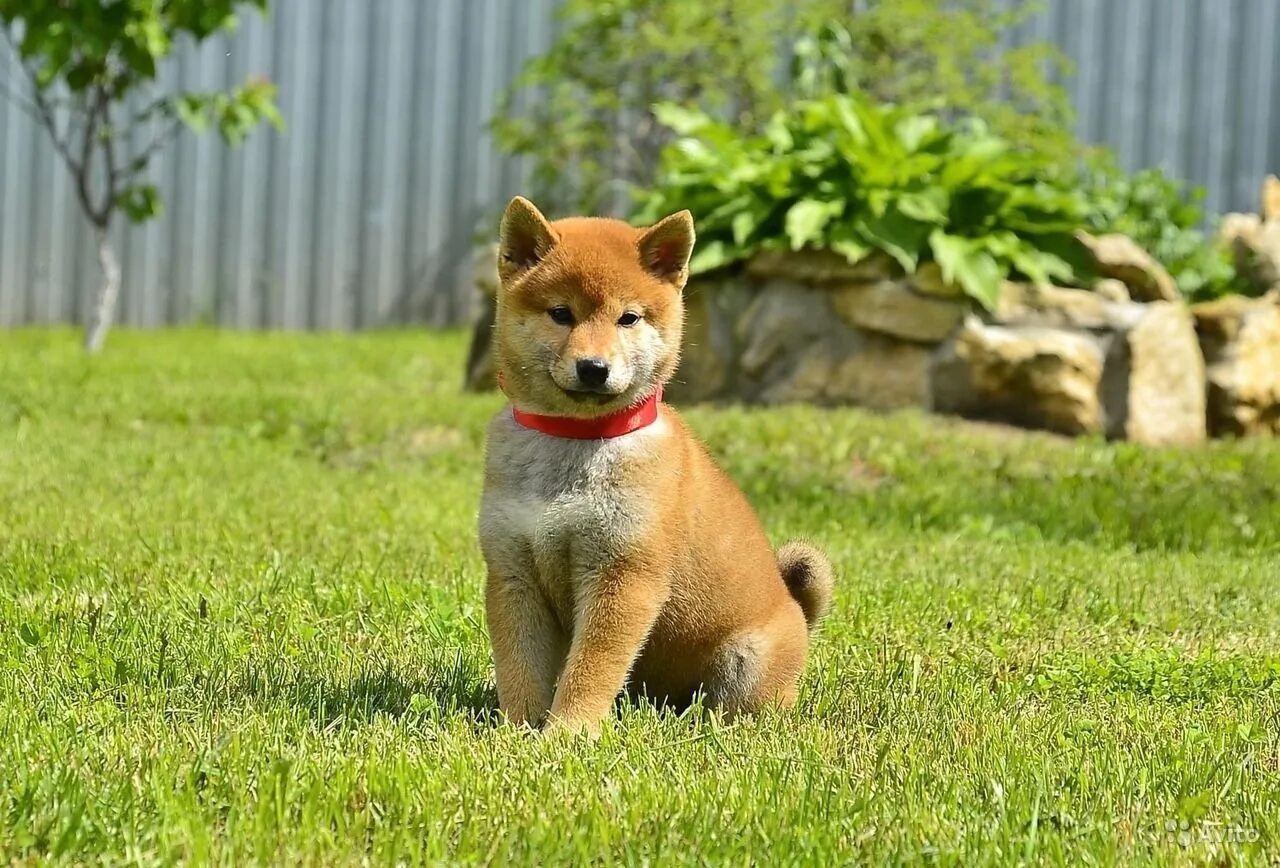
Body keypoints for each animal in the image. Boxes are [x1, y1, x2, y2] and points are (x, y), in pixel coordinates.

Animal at [478, 197, 829, 732]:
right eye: (561, 313)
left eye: (628, 318)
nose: (593, 368)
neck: (576, 441)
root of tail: (795, 609)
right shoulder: (512, 572)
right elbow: (520, 668)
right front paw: (516, 731)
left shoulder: (624, 575)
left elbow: (590, 670)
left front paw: (567, 733)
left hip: (744, 664)